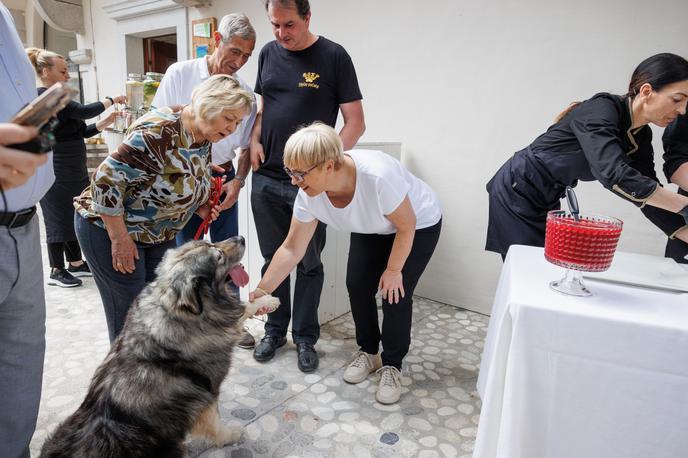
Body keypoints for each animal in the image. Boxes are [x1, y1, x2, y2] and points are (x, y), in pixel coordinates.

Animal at [39, 238, 280, 456]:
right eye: (218, 256)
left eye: (210, 243)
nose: (241, 238)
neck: (175, 310)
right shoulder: (207, 394)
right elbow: (215, 423)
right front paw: (230, 435)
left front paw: (265, 299)